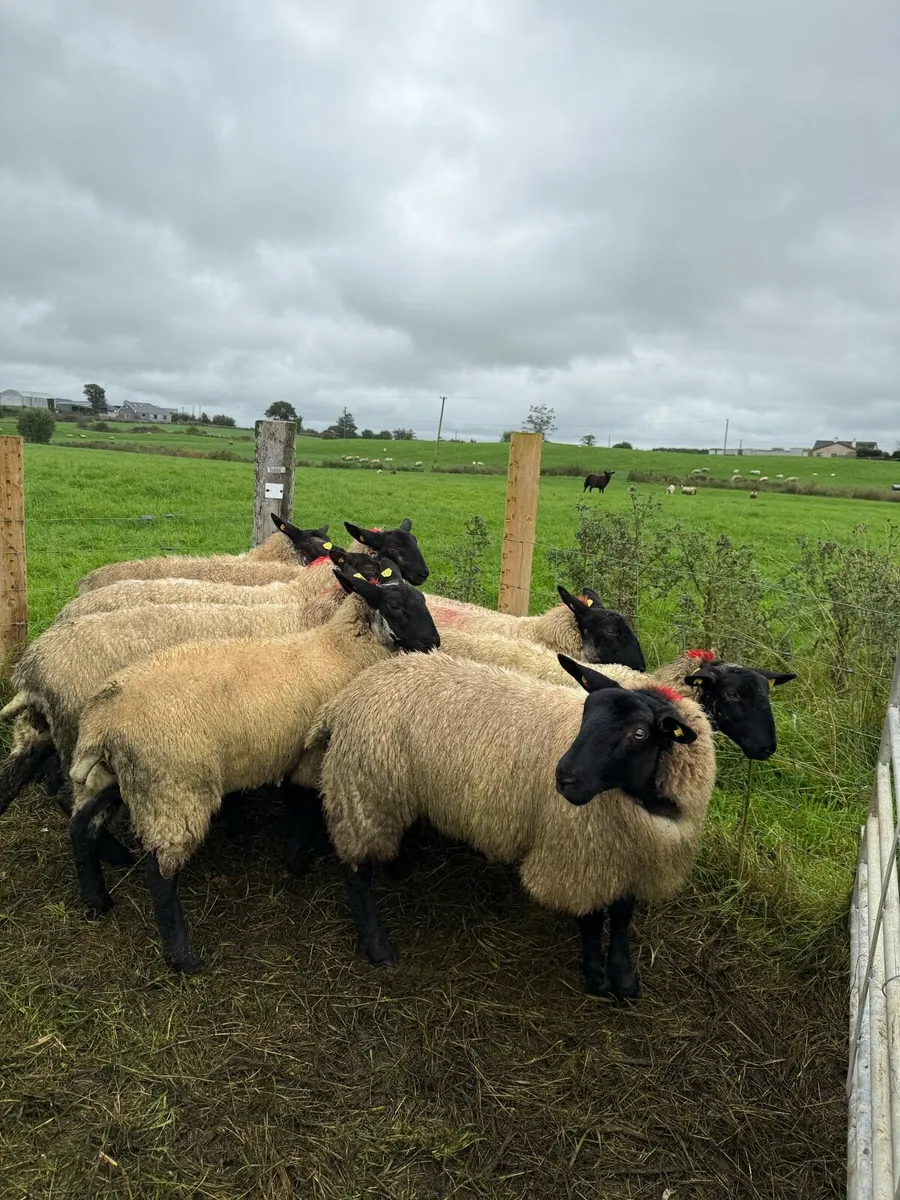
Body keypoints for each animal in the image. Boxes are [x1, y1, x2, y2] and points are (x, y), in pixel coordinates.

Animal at [67, 560, 441, 972]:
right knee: (160, 874)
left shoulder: (297, 752)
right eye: (395, 606)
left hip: (117, 778)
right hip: (173, 786)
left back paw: (97, 900)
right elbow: (304, 805)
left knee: (81, 827)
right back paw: (182, 957)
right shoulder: (312, 755)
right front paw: (299, 858)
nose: (434, 644)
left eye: (422, 600)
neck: (339, 652)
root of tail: (104, 721)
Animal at [307, 652, 715, 998]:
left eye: (640, 733)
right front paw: (596, 976)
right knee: (356, 872)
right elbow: (591, 918)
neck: (638, 798)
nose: (565, 777)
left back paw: (401, 866)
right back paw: (378, 947)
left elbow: (621, 917)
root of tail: (344, 698)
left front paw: (624, 979)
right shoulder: (577, 852)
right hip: (365, 790)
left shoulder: (634, 853)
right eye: (585, 712)